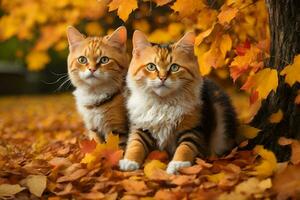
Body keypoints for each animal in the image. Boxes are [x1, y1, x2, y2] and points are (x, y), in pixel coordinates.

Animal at [119, 29, 237, 173]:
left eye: (174, 67)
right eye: (151, 67)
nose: (162, 78)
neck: (163, 103)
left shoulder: (193, 129)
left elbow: (185, 148)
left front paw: (177, 165)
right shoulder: (141, 127)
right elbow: (135, 145)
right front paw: (129, 162)